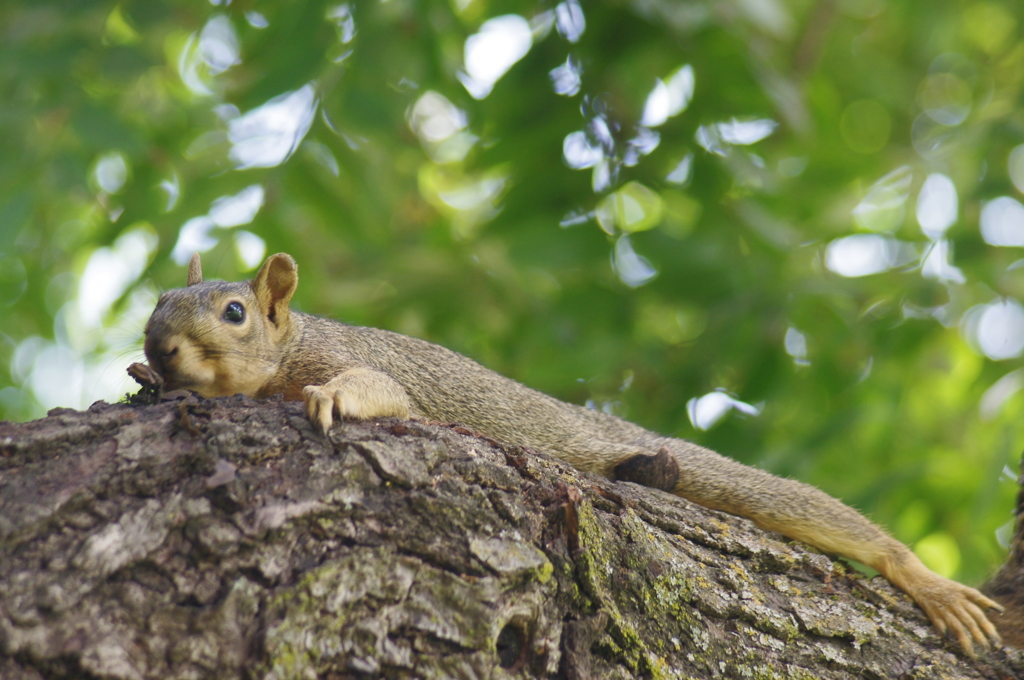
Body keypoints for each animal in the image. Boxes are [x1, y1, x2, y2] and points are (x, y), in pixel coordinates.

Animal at [140, 251, 1003, 655]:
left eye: (235, 311)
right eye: (156, 302)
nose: (161, 345)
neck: (293, 344)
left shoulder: (360, 365)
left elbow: (380, 391)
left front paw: (334, 401)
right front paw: (142, 377)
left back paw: (919, 576)